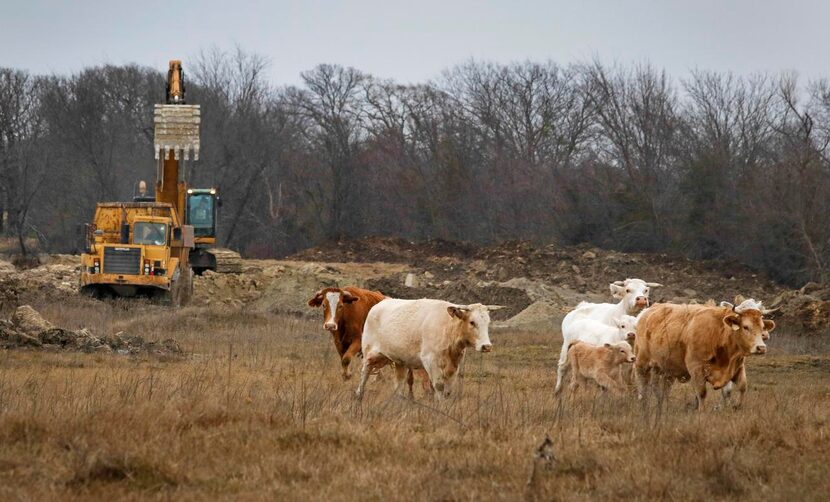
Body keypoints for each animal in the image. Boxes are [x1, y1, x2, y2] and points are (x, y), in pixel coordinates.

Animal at [356, 298, 504, 400]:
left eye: (488, 322)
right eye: (472, 322)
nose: (486, 346)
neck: (447, 327)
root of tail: (379, 304)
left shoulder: (455, 364)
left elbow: (448, 389)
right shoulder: (430, 360)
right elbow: (438, 386)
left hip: (400, 361)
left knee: (399, 382)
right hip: (370, 354)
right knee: (364, 374)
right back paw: (359, 396)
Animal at [636, 300, 780, 410]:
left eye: (762, 326)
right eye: (745, 326)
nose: (761, 348)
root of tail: (646, 312)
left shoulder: (737, 367)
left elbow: (742, 387)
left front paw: (736, 407)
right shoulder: (696, 369)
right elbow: (701, 393)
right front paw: (701, 412)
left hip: (667, 370)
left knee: (663, 389)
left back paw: (663, 406)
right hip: (642, 363)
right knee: (643, 385)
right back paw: (643, 405)